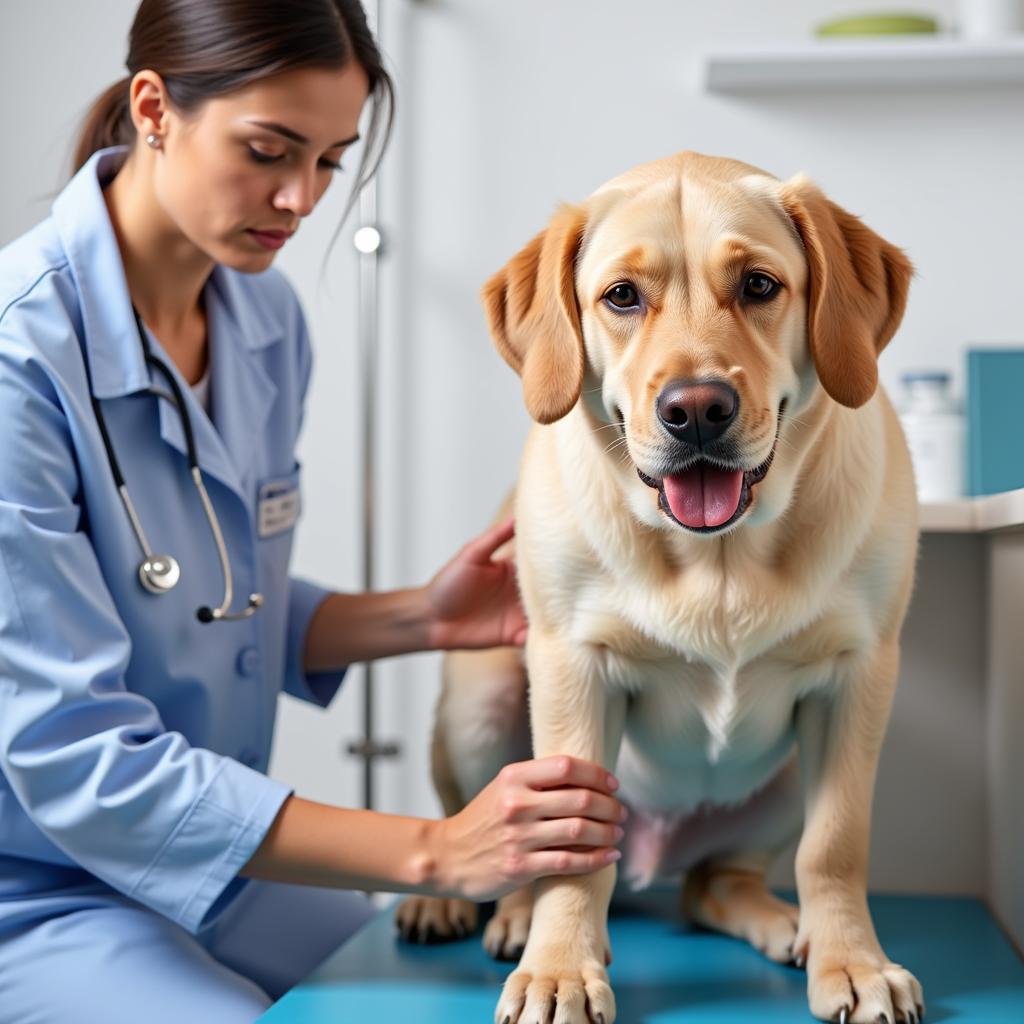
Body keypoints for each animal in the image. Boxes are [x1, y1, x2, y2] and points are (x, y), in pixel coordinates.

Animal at [393, 151, 921, 1024]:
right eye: (621, 297)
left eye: (759, 285)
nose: (697, 409)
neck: (721, 559)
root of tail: (655, 855)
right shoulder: (572, 667)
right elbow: (569, 856)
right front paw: (560, 972)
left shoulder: (861, 675)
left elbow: (835, 846)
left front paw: (853, 961)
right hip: (480, 704)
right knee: (503, 843)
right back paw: (491, 915)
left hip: (784, 782)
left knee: (713, 883)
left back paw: (782, 923)